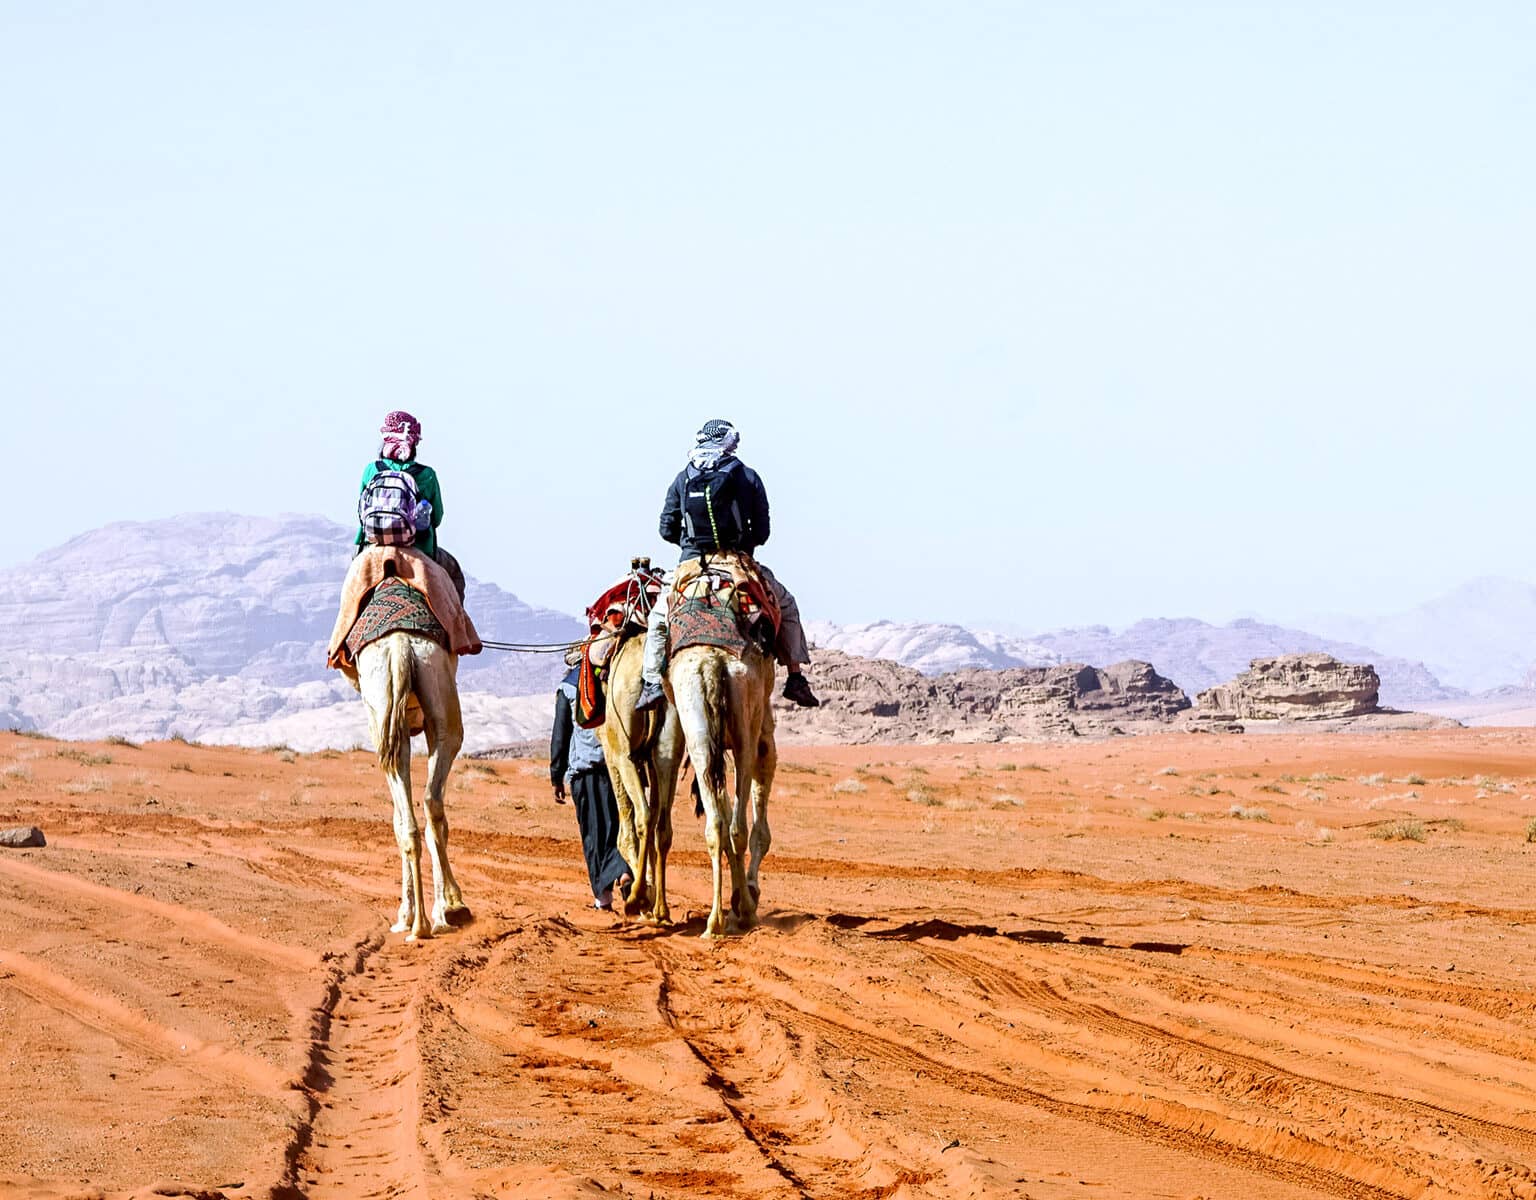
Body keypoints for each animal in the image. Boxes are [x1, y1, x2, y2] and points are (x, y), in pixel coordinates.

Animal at [356, 633, 463, 940]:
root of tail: (401, 643)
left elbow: (397, 821)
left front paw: (409, 913)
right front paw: (436, 908)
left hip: (388, 715)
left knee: (417, 814)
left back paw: (422, 921)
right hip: (434, 705)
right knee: (430, 804)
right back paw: (444, 911)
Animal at [592, 636, 685, 928]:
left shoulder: (613, 752)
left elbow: (625, 832)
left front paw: (642, 896)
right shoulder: (651, 760)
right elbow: (656, 823)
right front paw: (653, 902)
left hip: (624, 751)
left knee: (641, 817)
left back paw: (636, 899)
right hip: (669, 746)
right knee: (662, 827)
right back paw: (662, 909)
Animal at [666, 642, 774, 940]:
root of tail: (712, 664)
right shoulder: (764, 730)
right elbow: (761, 830)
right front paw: (749, 891)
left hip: (697, 730)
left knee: (716, 826)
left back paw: (715, 923)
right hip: (745, 731)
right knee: (739, 828)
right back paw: (746, 911)